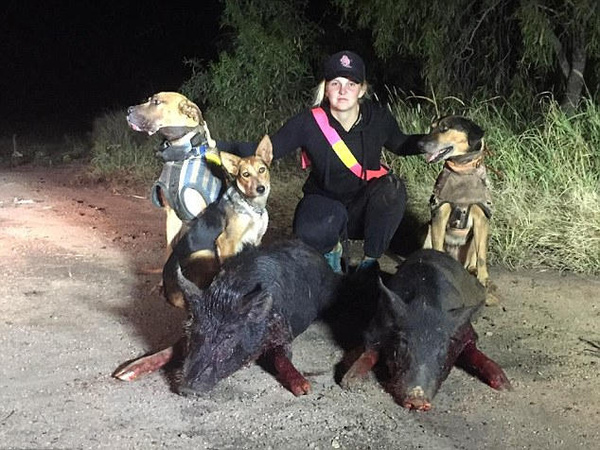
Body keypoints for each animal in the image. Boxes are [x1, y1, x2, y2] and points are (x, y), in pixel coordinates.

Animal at [420, 114, 494, 304]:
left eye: (445, 128)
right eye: (431, 127)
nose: (419, 144)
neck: (462, 171)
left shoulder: (481, 218)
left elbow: (482, 257)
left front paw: (483, 279)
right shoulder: (440, 212)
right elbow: (437, 248)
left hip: (473, 239)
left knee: (473, 260)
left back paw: (472, 270)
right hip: (427, 228)